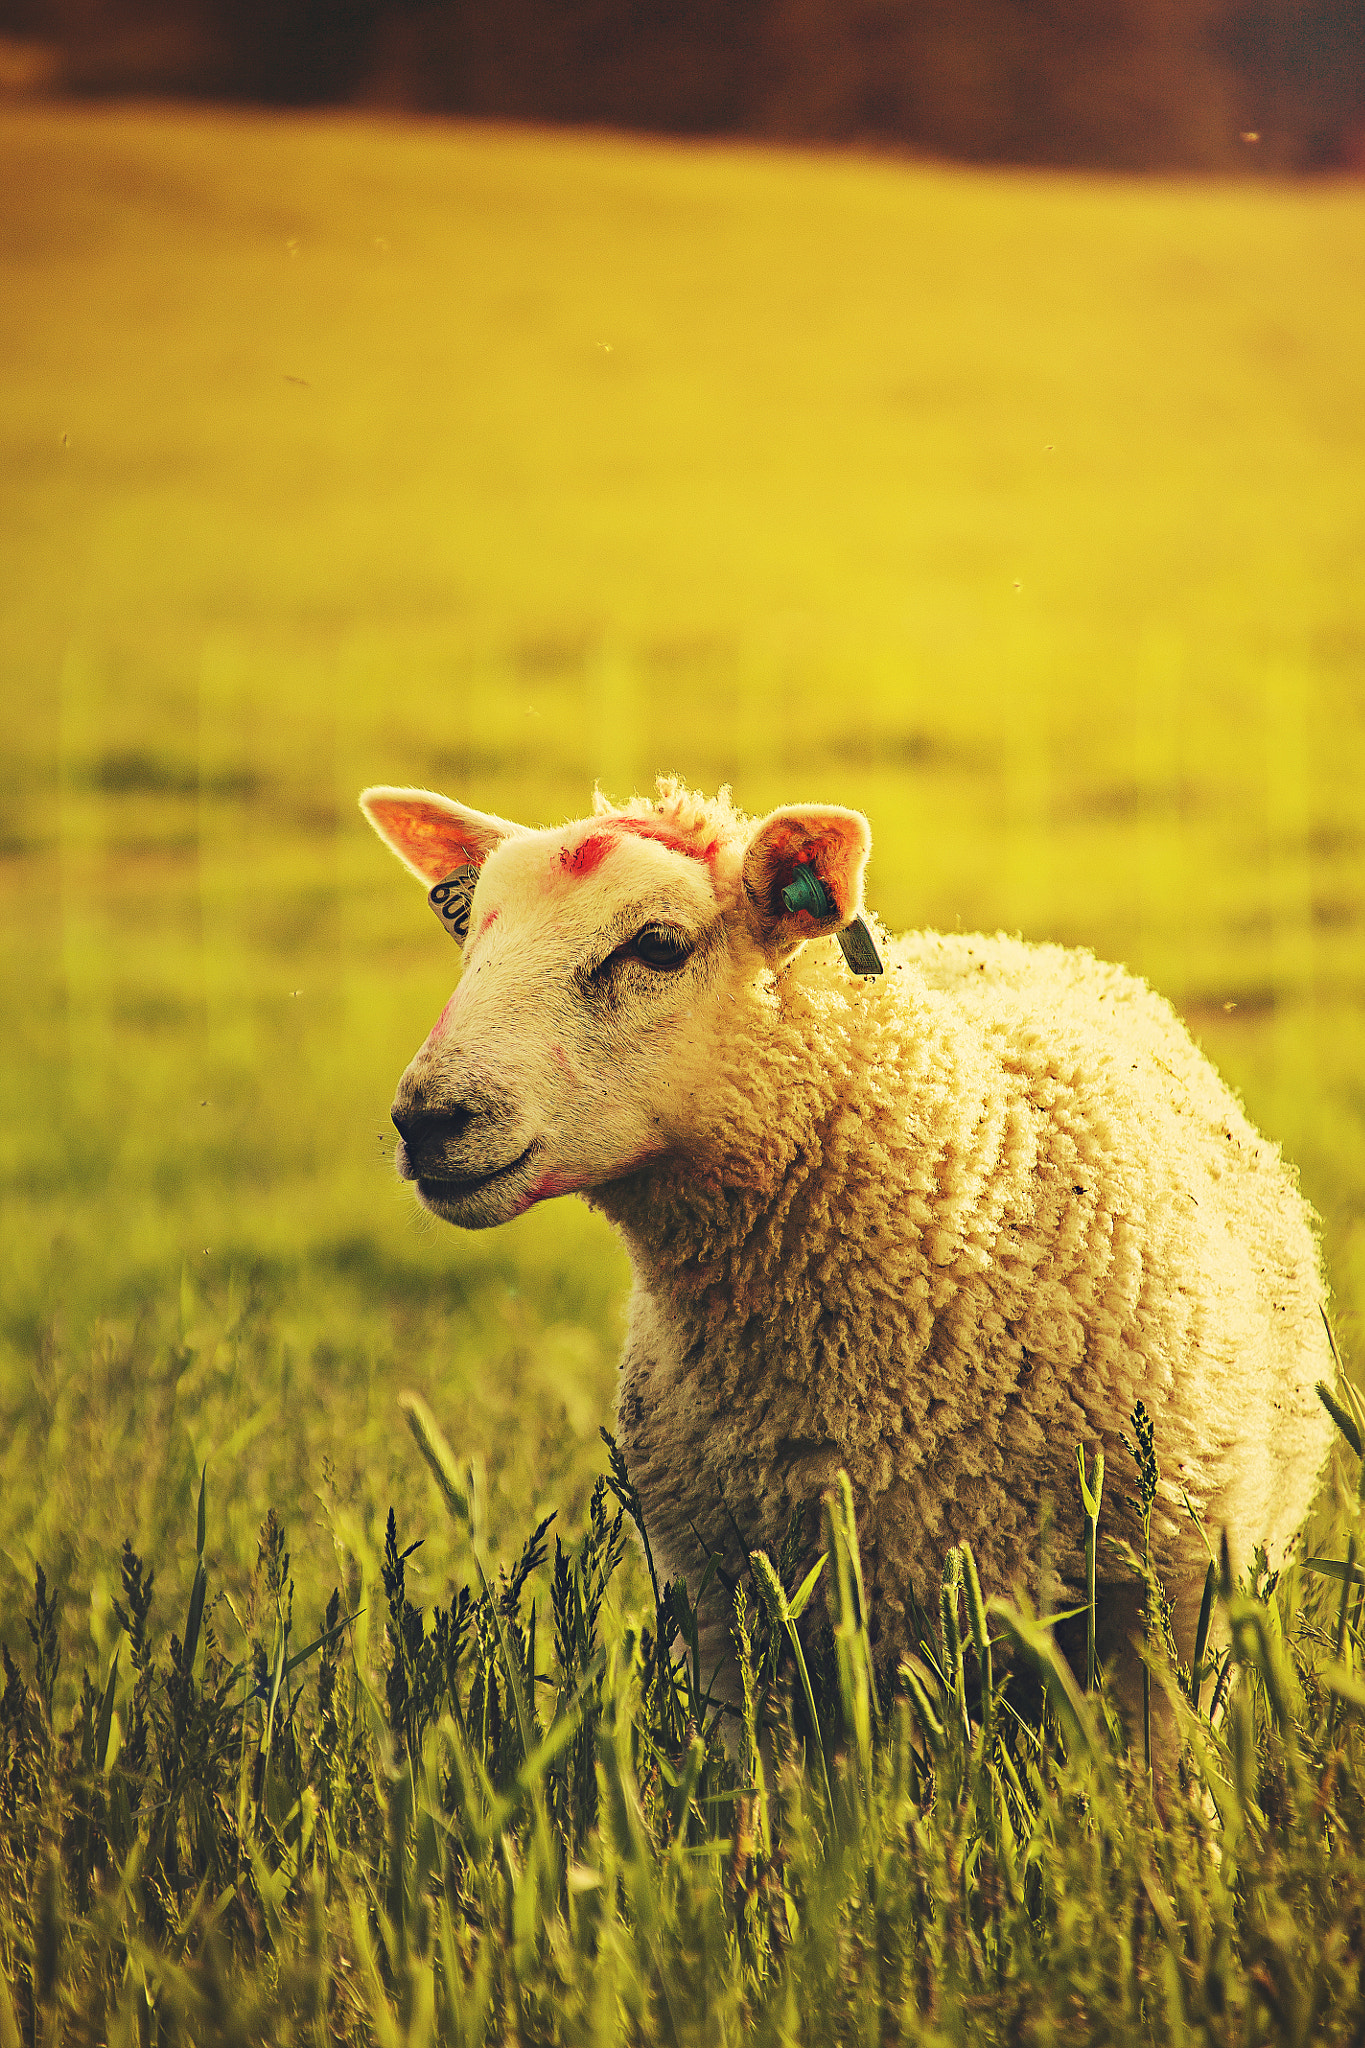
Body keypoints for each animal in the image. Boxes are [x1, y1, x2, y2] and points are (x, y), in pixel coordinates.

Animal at [361, 775, 1335, 1719]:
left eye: (658, 946)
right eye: (468, 932)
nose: (426, 1118)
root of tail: (994, 940)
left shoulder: (1169, 1599)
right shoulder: (725, 1614)